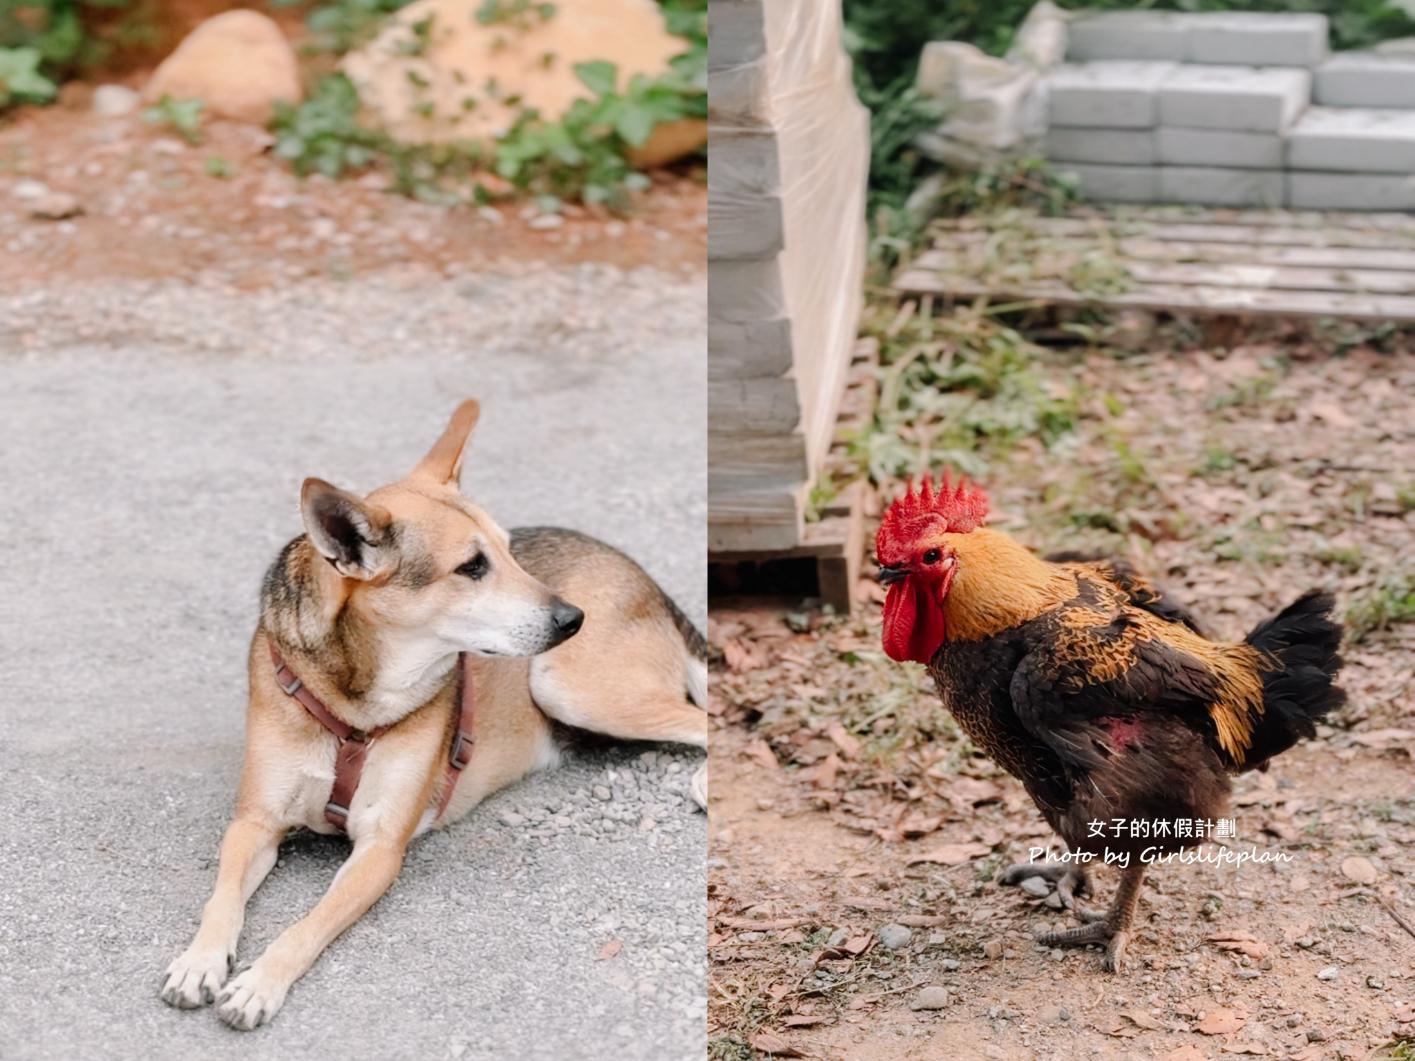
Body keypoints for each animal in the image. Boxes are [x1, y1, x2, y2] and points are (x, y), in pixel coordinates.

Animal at [162, 401, 707, 1029]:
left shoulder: (379, 850)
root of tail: (638, 571)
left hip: (568, 687)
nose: (573, 619)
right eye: (471, 567)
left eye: (508, 551)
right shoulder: (253, 824)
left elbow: (305, 927)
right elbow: (221, 897)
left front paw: (259, 983)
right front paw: (200, 960)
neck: (355, 698)